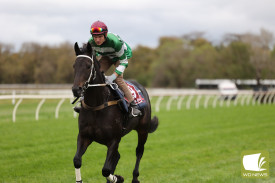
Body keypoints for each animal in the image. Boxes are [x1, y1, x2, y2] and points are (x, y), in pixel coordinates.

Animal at [71, 41, 160, 183]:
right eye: (75, 66)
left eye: (88, 66)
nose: (76, 90)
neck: (98, 105)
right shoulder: (84, 136)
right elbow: (77, 160)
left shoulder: (114, 140)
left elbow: (106, 169)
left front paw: (118, 178)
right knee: (117, 156)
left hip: (143, 130)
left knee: (139, 151)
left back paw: (135, 177)